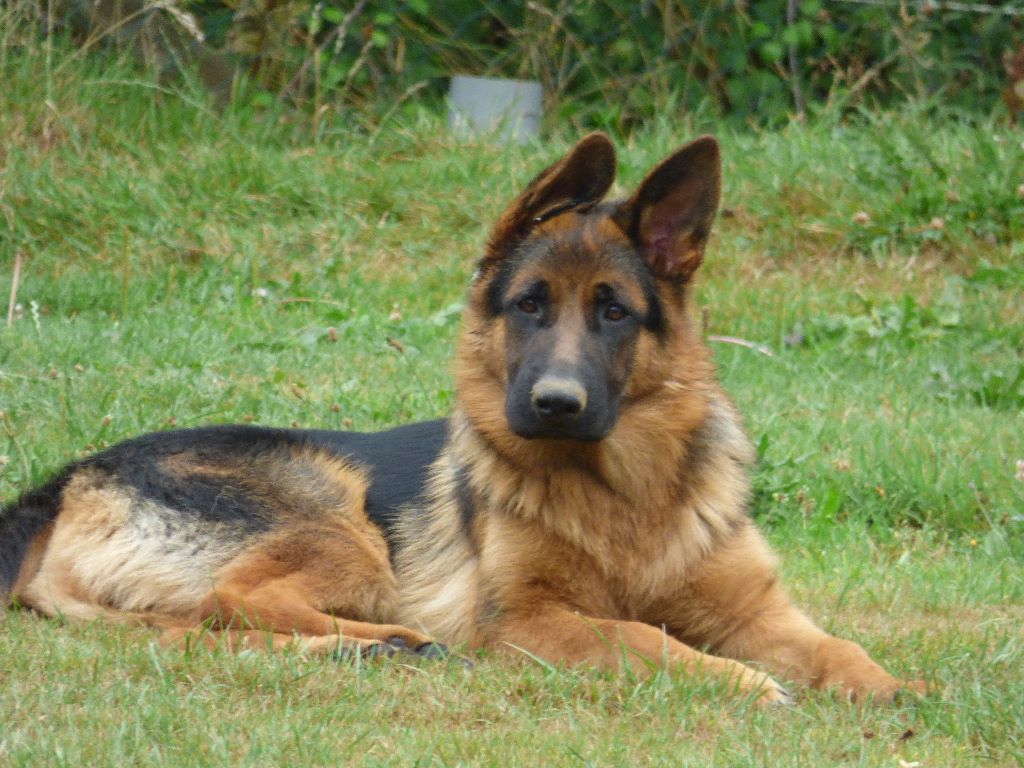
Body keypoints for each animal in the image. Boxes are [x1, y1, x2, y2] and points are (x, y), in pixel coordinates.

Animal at [0, 134, 925, 704]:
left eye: (614, 312)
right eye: (529, 305)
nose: (555, 404)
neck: (624, 498)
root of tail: (66, 480)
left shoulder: (755, 613)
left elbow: (836, 646)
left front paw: (892, 689)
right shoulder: (528, 621)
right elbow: (640, 634)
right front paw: (737, 682)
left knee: (191, 632)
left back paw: (368, 647)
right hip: (336, 518)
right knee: (234, 600)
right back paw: (384, 638)